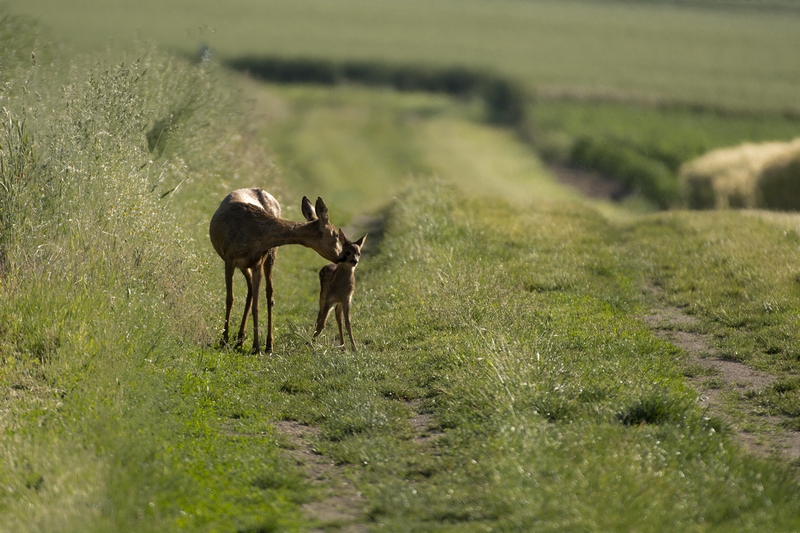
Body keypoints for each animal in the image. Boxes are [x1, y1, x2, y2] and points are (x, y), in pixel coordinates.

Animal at [209, 188, 344, 354]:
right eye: (336, 234)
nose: (343, 256)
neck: (255, 234)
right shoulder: (229, 259)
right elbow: (230, 299)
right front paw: (224, 340)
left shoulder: (258, 261)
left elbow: (256, 305)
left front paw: (256, 347)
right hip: (246, 265)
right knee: (250, 292)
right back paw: (240, 339)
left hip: (270, 255)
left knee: (268, 294)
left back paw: (266, 344)